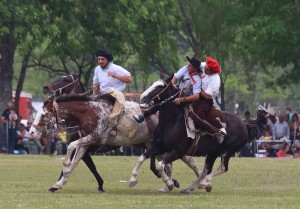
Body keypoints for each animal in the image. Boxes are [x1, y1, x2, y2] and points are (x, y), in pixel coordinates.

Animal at [129, 75, 268, 194]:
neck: (172, 122)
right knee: (206, 169)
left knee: (222, 168)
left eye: (159, 86)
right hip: (213, 152)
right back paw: (190, 188)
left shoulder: (178, 151)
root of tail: (244, 124)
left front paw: (169, 183)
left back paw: (204, 183)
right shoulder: (159, 146)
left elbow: (160, 164)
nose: (142, 97)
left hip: (227, 152)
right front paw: (132, 180)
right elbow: (143, 157)